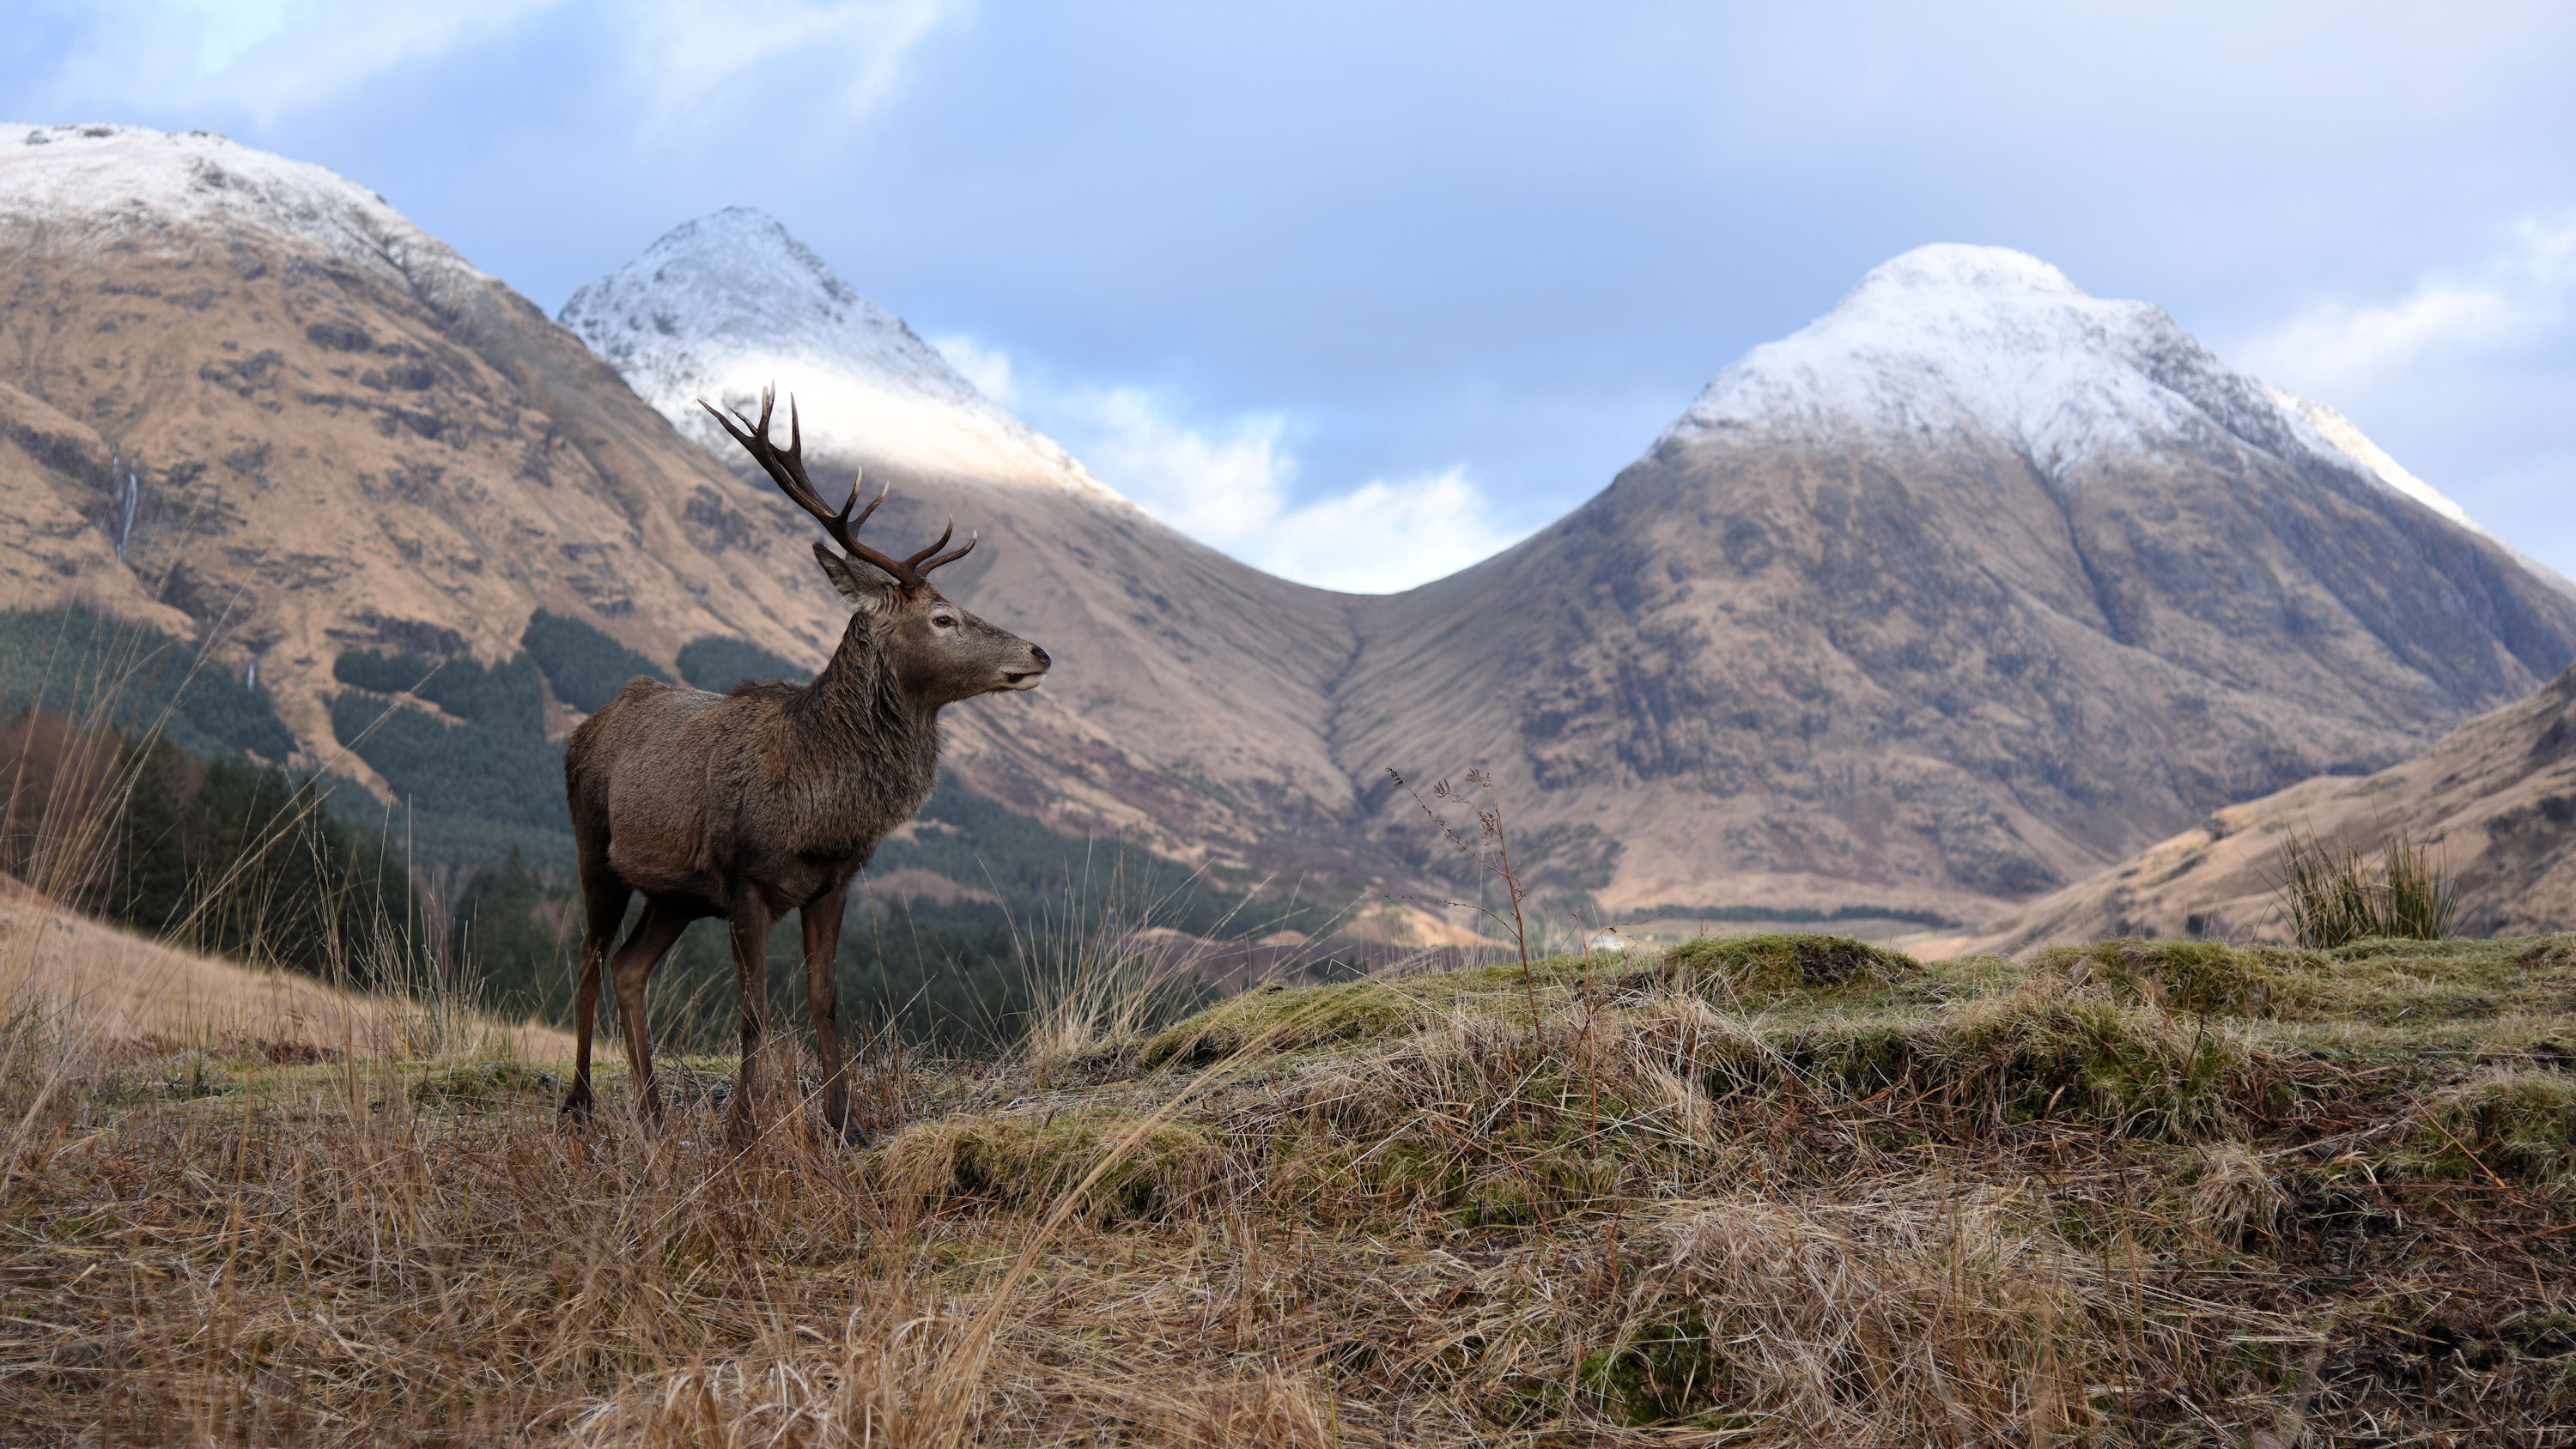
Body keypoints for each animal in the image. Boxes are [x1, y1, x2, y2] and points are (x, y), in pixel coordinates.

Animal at [559, 387, 1051, 1144]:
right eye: (943, 618)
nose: (1038, 653)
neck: (818, 802)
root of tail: (585, 729)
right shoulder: (744, 881)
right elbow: (753, 1010)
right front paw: (741, 1129)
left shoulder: (833, 882)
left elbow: (826, 998)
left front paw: (846, 1124)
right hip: (595, 849)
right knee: (588, 961)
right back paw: (581, 1104)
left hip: (675, 895)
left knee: (628, 970)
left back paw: (653, 1110)